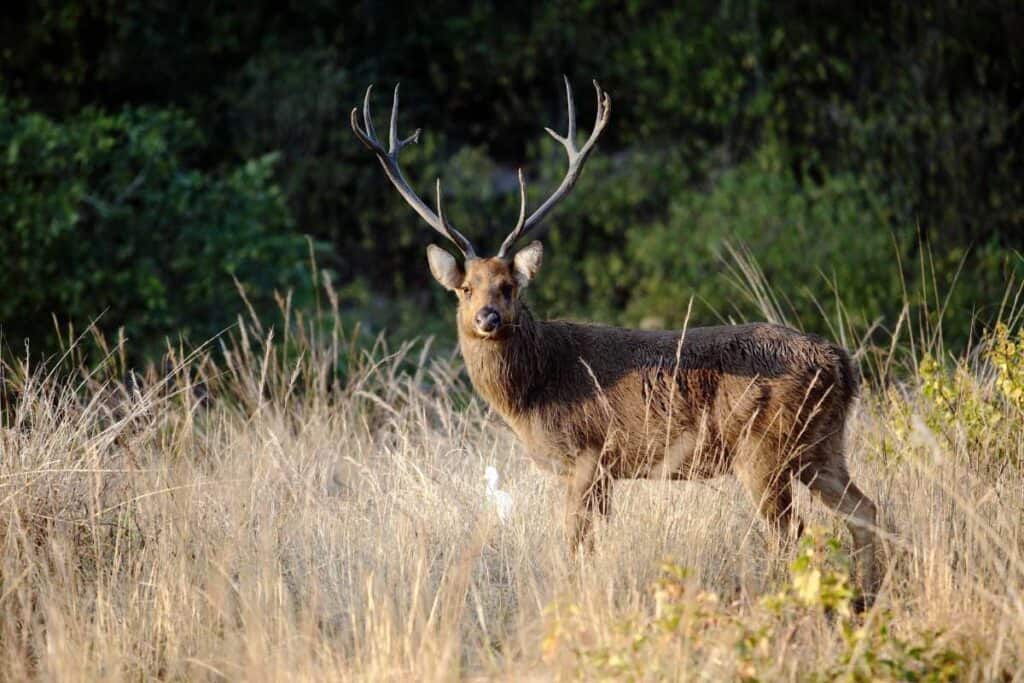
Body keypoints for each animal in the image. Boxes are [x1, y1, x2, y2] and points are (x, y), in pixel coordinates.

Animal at [352, 77, 880, 606]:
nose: (487, 317)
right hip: (822, 444)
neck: (534, 389)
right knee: (865, 511)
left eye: (509, 286)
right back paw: (868, 596)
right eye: (465, 288)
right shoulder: (602, 470)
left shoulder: (590, 453)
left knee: (794, 533)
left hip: (765, 448)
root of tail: (841, 362)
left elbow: (574, 543)